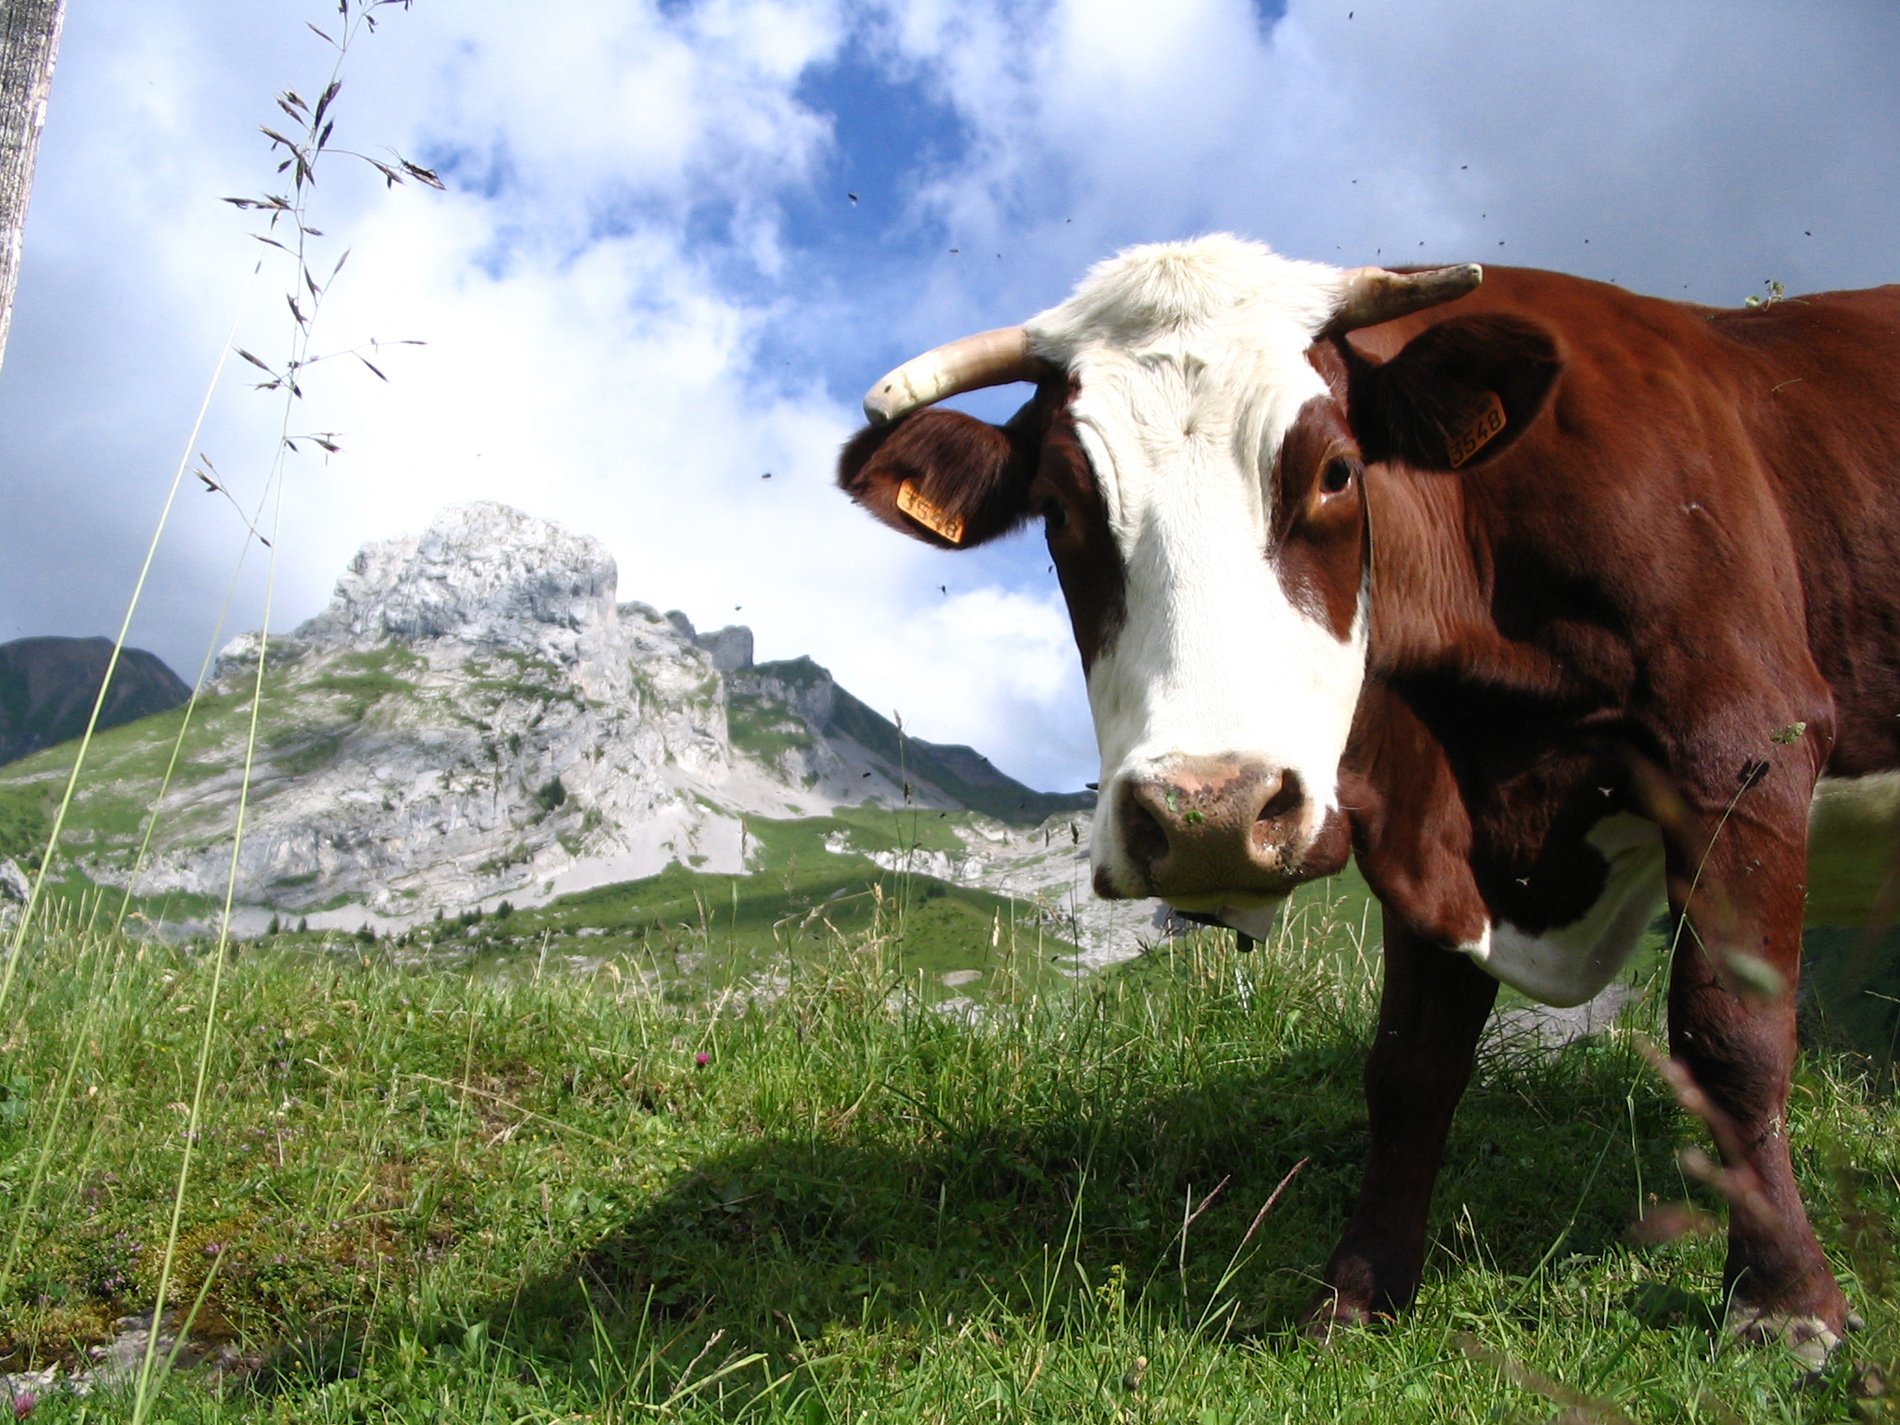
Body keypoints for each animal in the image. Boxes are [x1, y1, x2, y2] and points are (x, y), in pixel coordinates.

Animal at [843, 231, 1900, 1352]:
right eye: (1059, 509)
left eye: (1336, 472)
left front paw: (1784, 1301)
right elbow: (1407, 1069)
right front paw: (1359, 1292)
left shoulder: (1742, 744)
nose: (1209, 813)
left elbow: (1729, 1036)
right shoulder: (1426, 832)